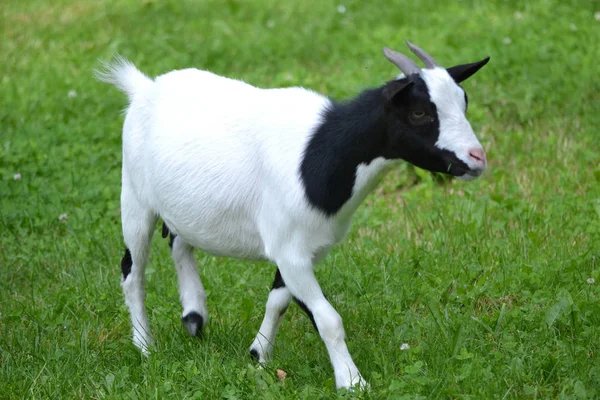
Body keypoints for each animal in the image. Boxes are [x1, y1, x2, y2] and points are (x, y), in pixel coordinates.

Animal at [98, 42, 490, 390]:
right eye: (420, 113)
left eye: (464, 101)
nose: (477, 158)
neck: (321, 152)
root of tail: (143, 87)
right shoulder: (290, 248)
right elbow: (328, 318)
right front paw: (352, 382)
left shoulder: (303, 247)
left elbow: (279, 300)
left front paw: (259, 355)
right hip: (134, 196)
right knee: (132, 272)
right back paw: (145, 346)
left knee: (180, 241)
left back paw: (194, 316)